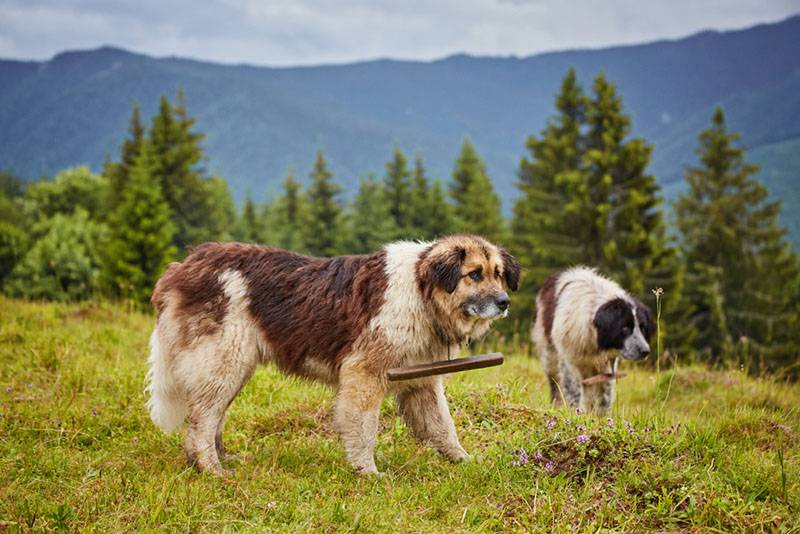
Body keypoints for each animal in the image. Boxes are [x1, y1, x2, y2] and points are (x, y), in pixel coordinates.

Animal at [145, 237, 520, 476]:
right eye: (474, 274)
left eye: (499, 274)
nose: (504, 302)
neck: (420, 291)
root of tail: (185, 264)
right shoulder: (363, 375)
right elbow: (364, 429)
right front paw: (367, 472)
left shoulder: (422, 381)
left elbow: (443, 428)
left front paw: (465, 462)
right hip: (224, 361)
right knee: (202, 422)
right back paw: (211, 469)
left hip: (230, 368)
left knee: (212, 417)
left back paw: (221, 460)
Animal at [532, 268, 656, 414]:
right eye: (625, 328)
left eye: (642, 327)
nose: (645, 351)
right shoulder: (569, 361)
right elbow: (573, 391)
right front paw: (573, 412)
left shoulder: (606, 366)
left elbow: (605, 396)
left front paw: (601, 417)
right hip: (549, 355)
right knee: (555, 383)